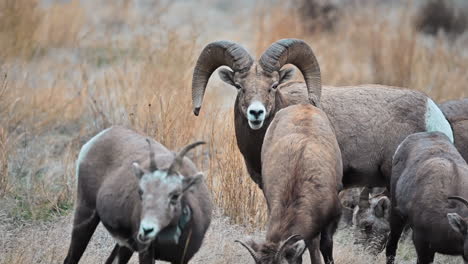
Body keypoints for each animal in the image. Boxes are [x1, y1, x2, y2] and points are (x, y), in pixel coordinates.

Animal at [62, 127, 212, 262]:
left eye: (175, 195)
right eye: (141, 192)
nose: (146, 230)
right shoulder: (145, 252)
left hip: (124, 246)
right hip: (85, 215)